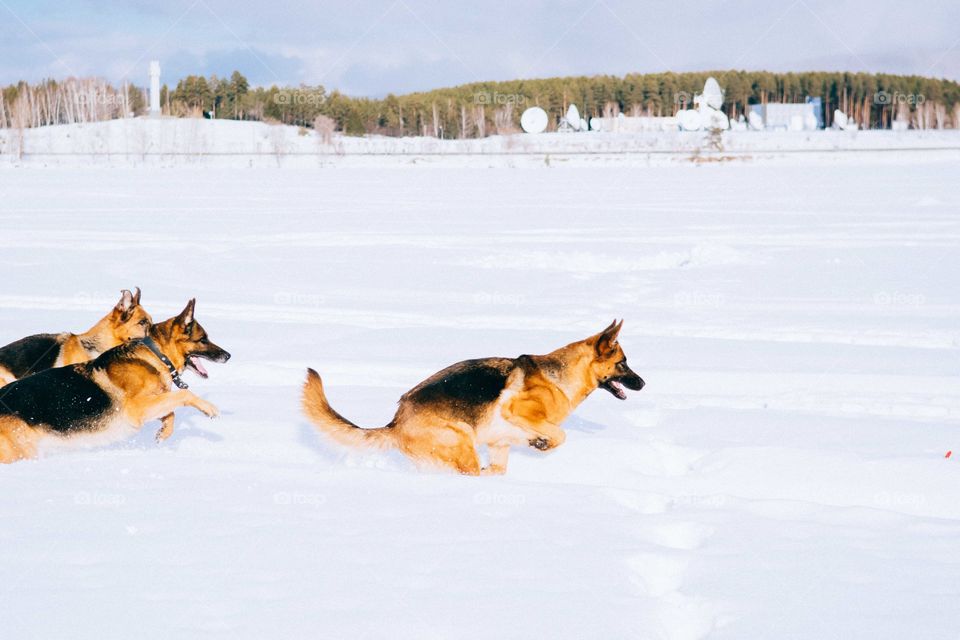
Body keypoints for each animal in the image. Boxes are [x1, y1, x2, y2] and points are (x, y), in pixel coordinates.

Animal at [0, 300, 231, 464]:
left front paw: (164, 433)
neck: (156, 355)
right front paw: (209, 408)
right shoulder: (136, 409)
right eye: (203, 339)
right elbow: (183, 394)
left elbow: (171, 411)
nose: (228, 356)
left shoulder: (151, 403)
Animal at [302, 320, 644, 476]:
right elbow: (560, 434)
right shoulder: (516, 411)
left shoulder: (499, 445)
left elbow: (500, 467)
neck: (561, 378)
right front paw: (542, 443)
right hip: (463, 443)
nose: (642, 383)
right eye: (623, 363)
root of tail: (395, 422)